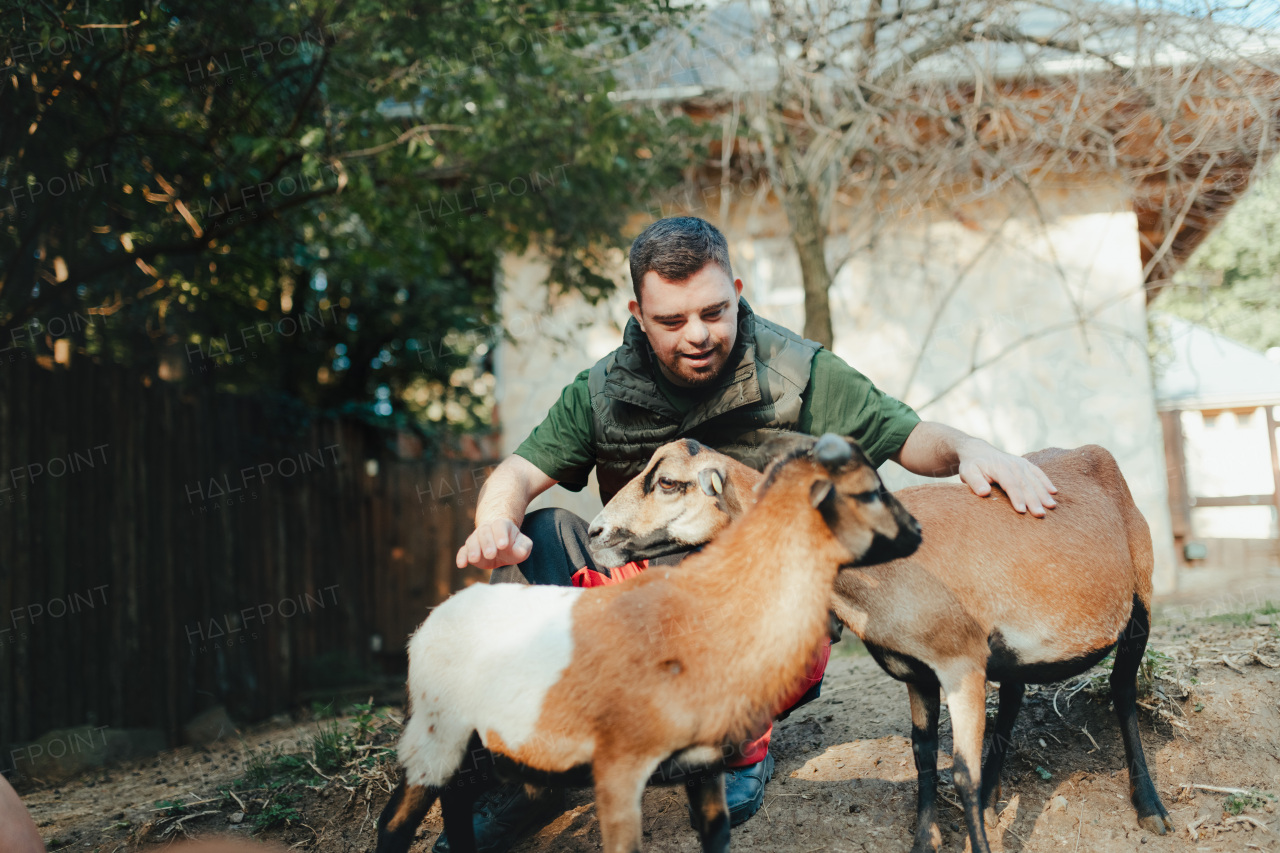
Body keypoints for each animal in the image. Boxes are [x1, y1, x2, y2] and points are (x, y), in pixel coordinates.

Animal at [588, 435, 1172, 850]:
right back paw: (992, 800)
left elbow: (959, 772)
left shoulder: (960, 665)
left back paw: (1150, 808)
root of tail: (1093, 454)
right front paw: (926, 840)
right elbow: (922, 755)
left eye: (667, 482)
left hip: (1139, 605)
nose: (595, 534)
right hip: (1011, 651)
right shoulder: (919, 673)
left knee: (1123, 693)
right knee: (1011, 699)